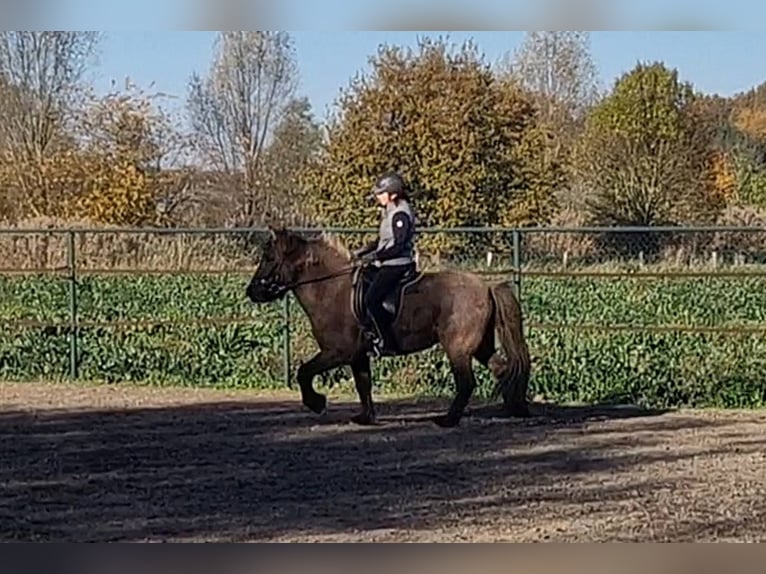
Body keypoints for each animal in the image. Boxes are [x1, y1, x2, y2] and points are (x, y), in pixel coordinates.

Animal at [245, 225, 532, 428]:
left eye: (269, 257)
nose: (252, 292)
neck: (332, 289)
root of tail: (487, 286)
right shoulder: (358, 355)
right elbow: (363, 384)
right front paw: (366, 417)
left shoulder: (338, 352)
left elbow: (304, 372)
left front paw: (317, 402)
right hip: (480, 346)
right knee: (501, 368)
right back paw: (514, 408)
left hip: (458, 348)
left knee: (466, 383)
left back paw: (448, 420)